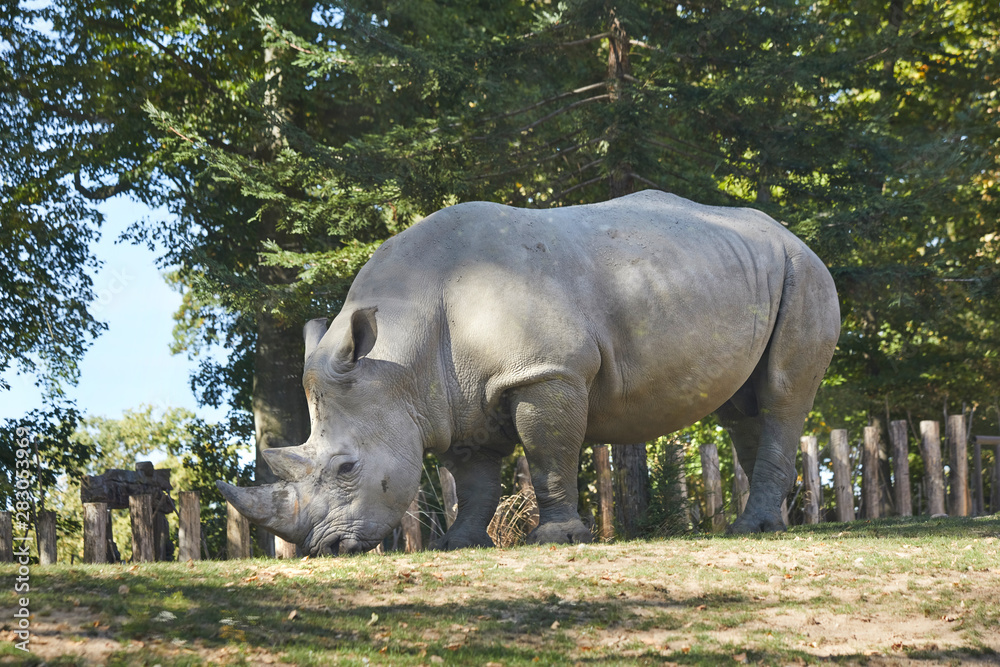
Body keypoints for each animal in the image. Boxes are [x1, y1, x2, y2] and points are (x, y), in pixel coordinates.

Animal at [221, 189, 844, 552]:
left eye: (348, 467)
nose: (322, 547)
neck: (400, 355)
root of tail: (791, 233)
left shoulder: (545, 371)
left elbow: (547, 454)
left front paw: (559, 538)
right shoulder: (452, 397)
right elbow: (472, 478)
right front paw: (457, 544)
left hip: (806, 272)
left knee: (782, 394)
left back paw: (754, 529)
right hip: (742, 271)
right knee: (743, 407)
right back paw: (767, 522)